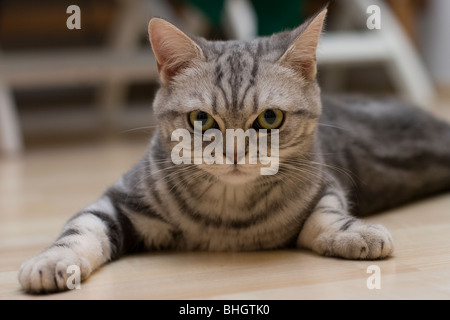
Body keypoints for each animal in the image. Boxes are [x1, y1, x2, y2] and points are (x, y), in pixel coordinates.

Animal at [17, 8, 450, 292]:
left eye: (271, 118)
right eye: (201, 119)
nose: (236, 153)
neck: (228, 214)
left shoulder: (325, 184)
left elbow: (326, 216)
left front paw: (353, 232)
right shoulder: (120, 198)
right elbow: (80, 229)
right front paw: (52, 261)